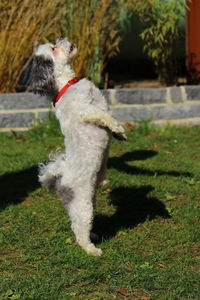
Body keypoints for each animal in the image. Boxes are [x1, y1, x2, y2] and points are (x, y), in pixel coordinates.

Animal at [29, 36, 126, 254]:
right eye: (54, 48)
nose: (62, 38)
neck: (67, 84)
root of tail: (59, 181)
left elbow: (108, 115)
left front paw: (118, 134)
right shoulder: (85, 110)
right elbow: (104, 115)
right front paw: (118, 127)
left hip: (89, 199)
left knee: (80, 225)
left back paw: (94, 235)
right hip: (83, 206)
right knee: (79, 229)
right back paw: (91, 249)